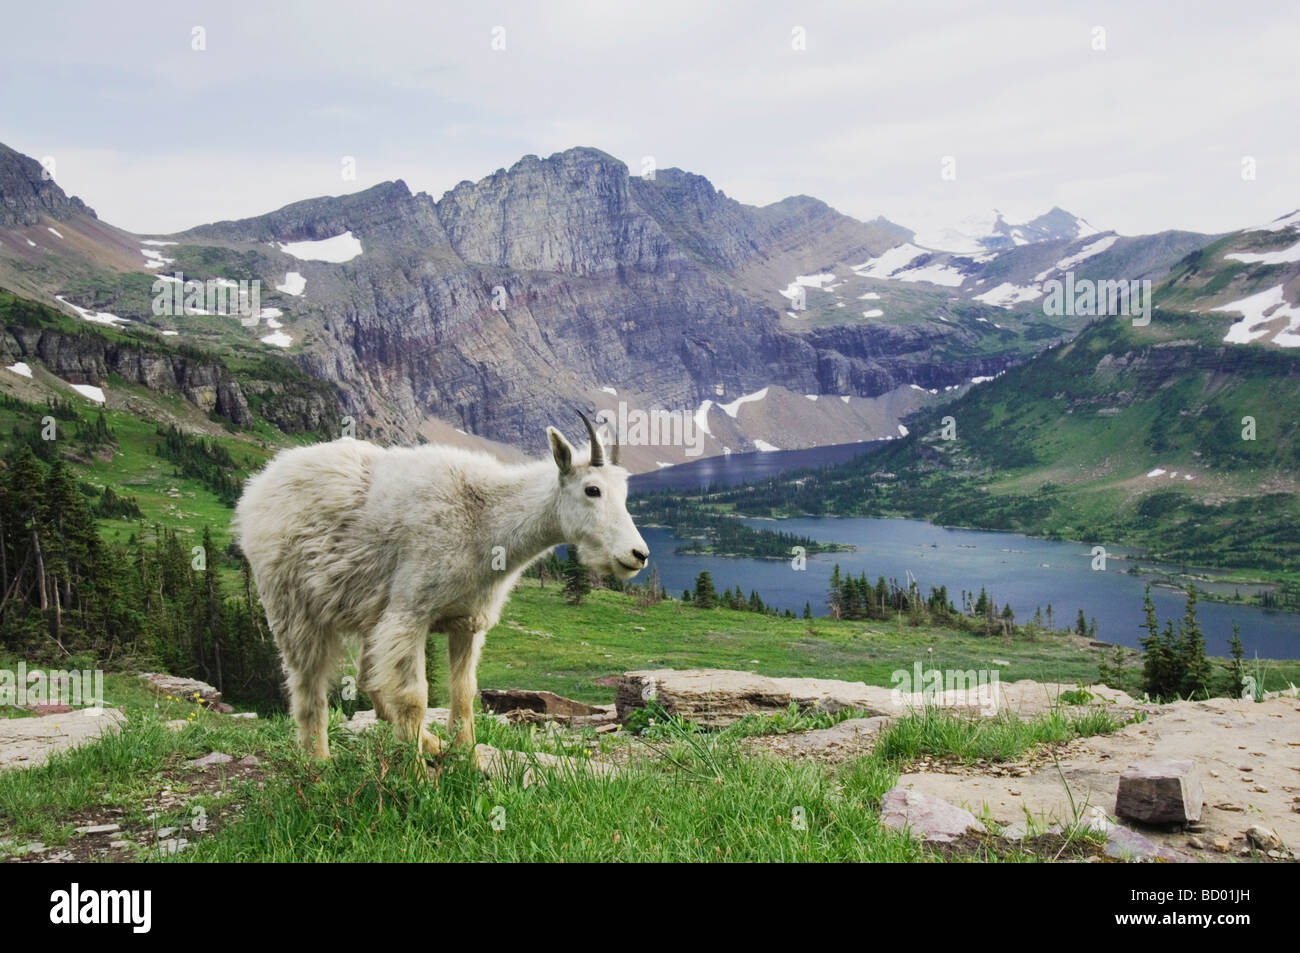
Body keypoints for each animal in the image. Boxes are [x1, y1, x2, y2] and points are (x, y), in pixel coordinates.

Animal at [235, 413, 650, 764]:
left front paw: (464, 754)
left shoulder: (467, 619)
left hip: (369, 616)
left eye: (625, 494)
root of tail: (257, 487)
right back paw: (319, 762)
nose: (638, 554)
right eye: (592, 490)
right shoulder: (409, 614)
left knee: (368, 678)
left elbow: (463, 692)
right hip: (292, 607)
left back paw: (430, 743)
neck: (485, 520)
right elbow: (414, 697)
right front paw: (417, 775)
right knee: (308, 688)